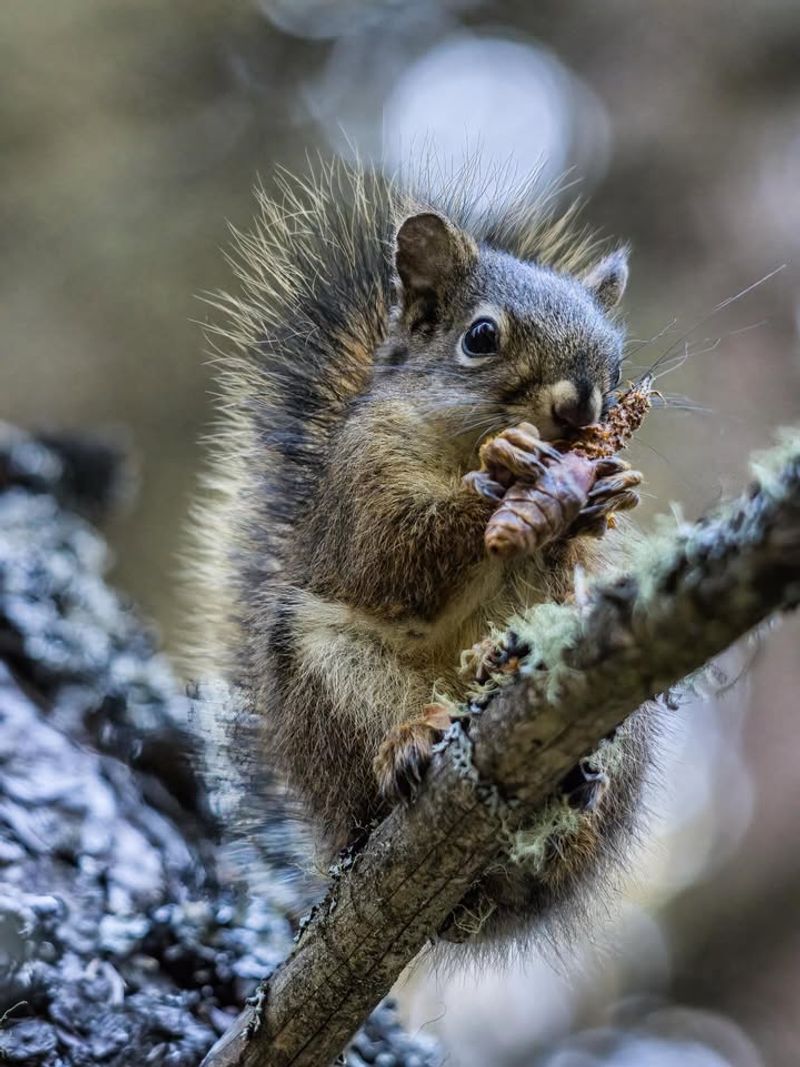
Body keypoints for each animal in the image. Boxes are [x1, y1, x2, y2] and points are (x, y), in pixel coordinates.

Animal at [190, 161, 655, 944]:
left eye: (617, 362)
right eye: (481, 336)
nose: (581, 408)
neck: (462, 445)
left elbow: (570, 561)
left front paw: (603, 494)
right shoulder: (360, 481)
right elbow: (391, 554)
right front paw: (501, 486)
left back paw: (562, 756)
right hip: (326, 680)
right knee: (369, 765)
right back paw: (408, 743)